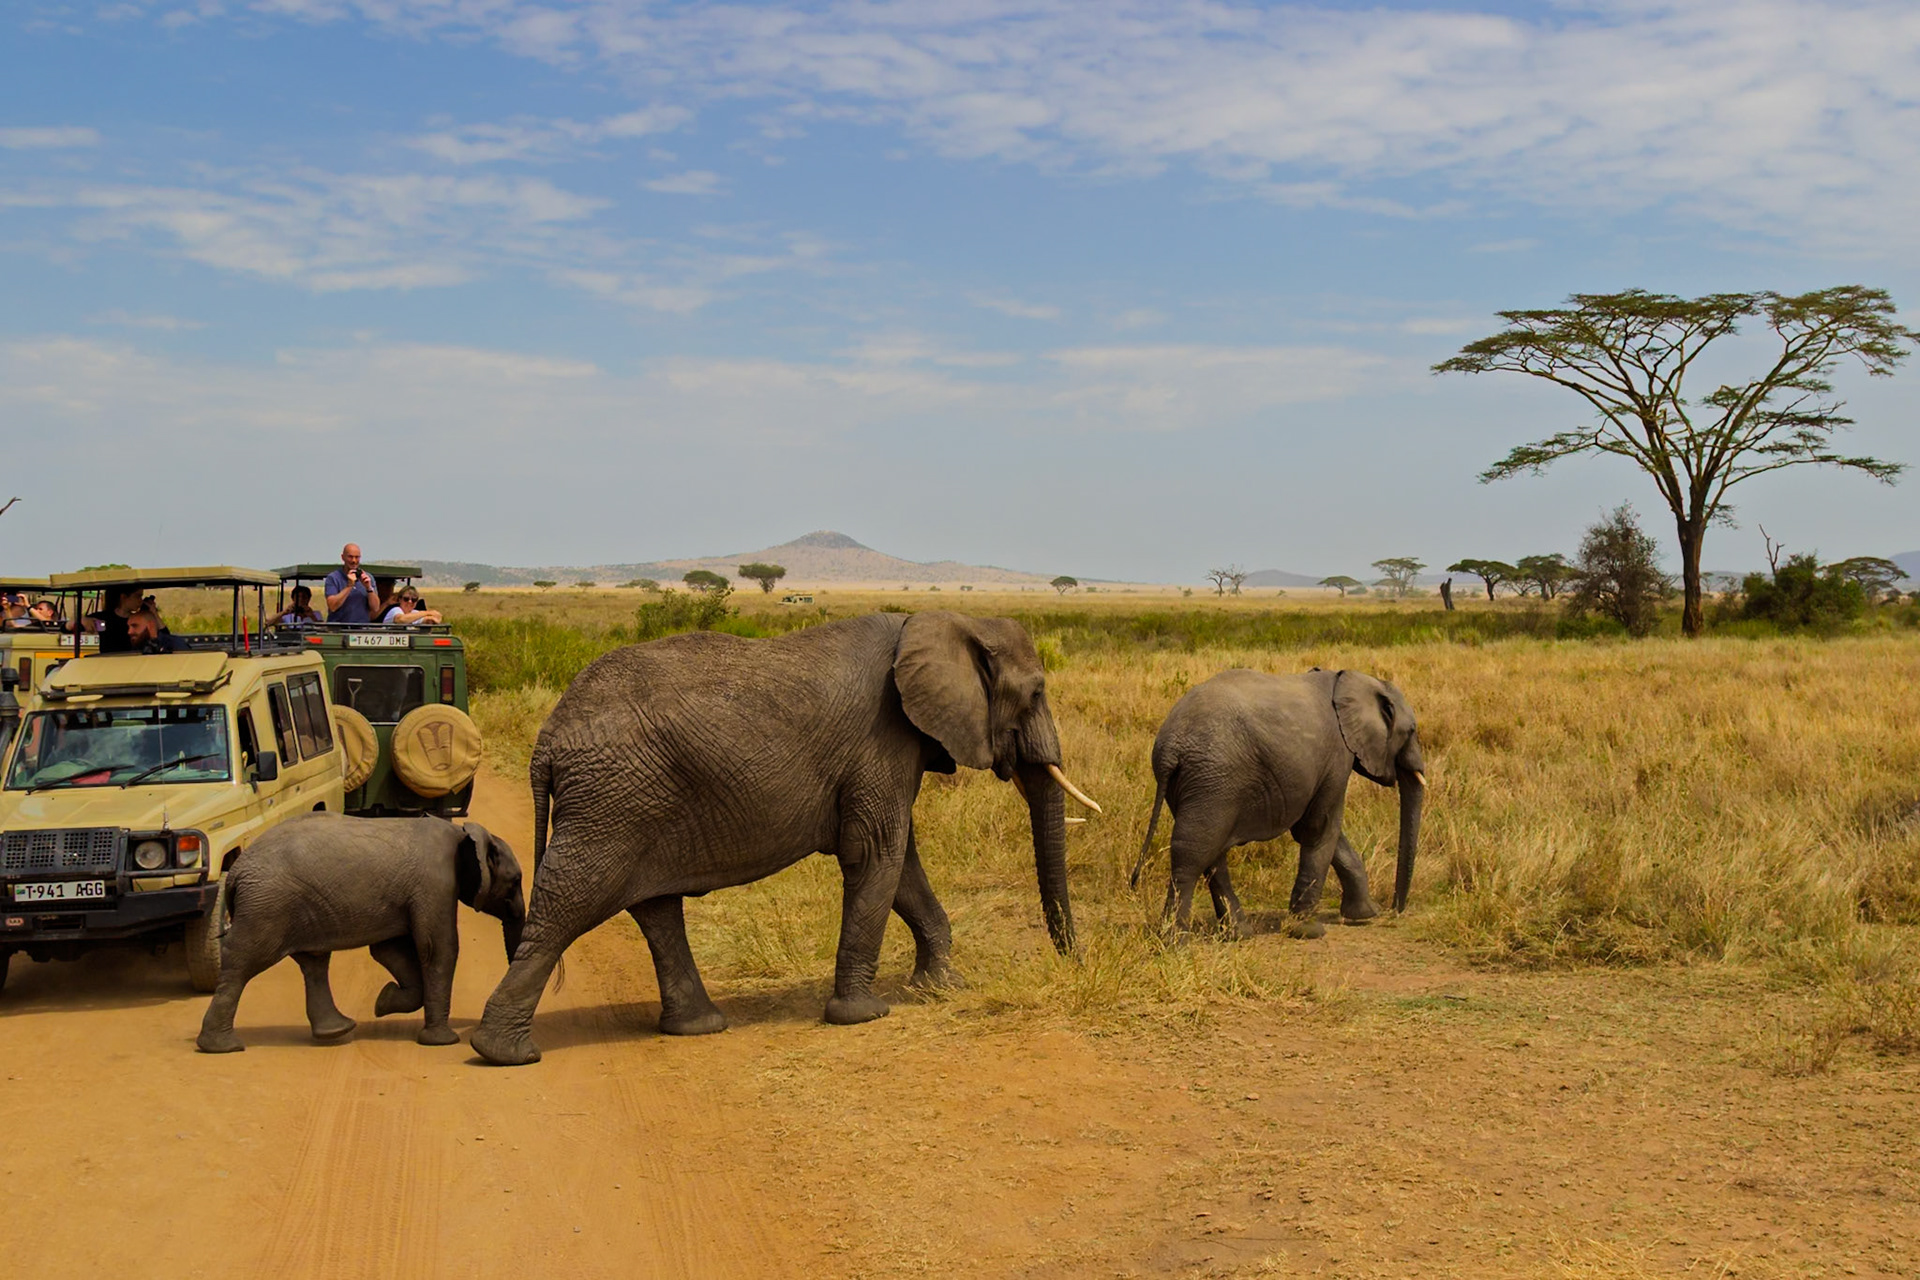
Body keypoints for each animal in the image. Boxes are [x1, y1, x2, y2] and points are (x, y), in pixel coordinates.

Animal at [196, 814, 525, 1053]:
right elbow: (438, 948)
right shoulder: (436, 883)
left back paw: (338, 1031)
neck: (463, 833)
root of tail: (235, 873)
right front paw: (442, 1042)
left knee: (314, 963)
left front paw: (383, 1003)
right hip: (267, 907)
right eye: (516, 881)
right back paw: (222, 1047)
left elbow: (390, 950)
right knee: (243, 963)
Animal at [469, 610, 1101, 1066]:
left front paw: (942, 987)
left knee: (655, 909)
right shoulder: (882, 738)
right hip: (612, 802)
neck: (945, 620)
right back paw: (505, 1054)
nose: (1073, 961)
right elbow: (876, 853)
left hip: (634, 801)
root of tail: (547, 740)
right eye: (1036, 693)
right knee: (569, 905)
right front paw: (865, 1015)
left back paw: (697, 1027)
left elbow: (902, 863)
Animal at [1129, 668, 1426, 938]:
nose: (1394, 911)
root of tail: (1171, 747)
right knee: (1192, 853)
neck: (1348, 679)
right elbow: (1319, 829)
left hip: (1200, 784)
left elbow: (1320, 831)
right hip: (1214, 779)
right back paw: (1175, 941)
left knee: (1211, 852)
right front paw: (1309, 931)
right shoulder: (1337, 757)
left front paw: (1364, 916)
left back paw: (1239, 934)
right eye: (1411, 730)